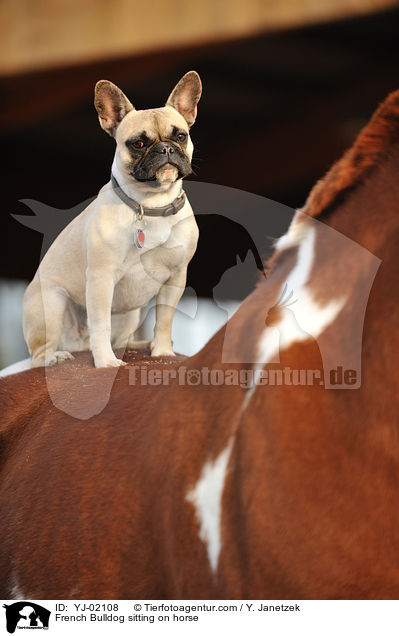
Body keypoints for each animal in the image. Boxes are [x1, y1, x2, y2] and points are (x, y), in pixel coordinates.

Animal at [0, 90, 399, 600]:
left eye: (180, 134)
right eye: (137, 142)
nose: (166, 151)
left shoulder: (174, 277)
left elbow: (165, 319)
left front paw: (162, 352)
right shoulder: (101, 278)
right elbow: (100, 319)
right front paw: (107, 364)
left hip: (129, 312)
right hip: (50, 303)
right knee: (59, 339)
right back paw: (66, 354)